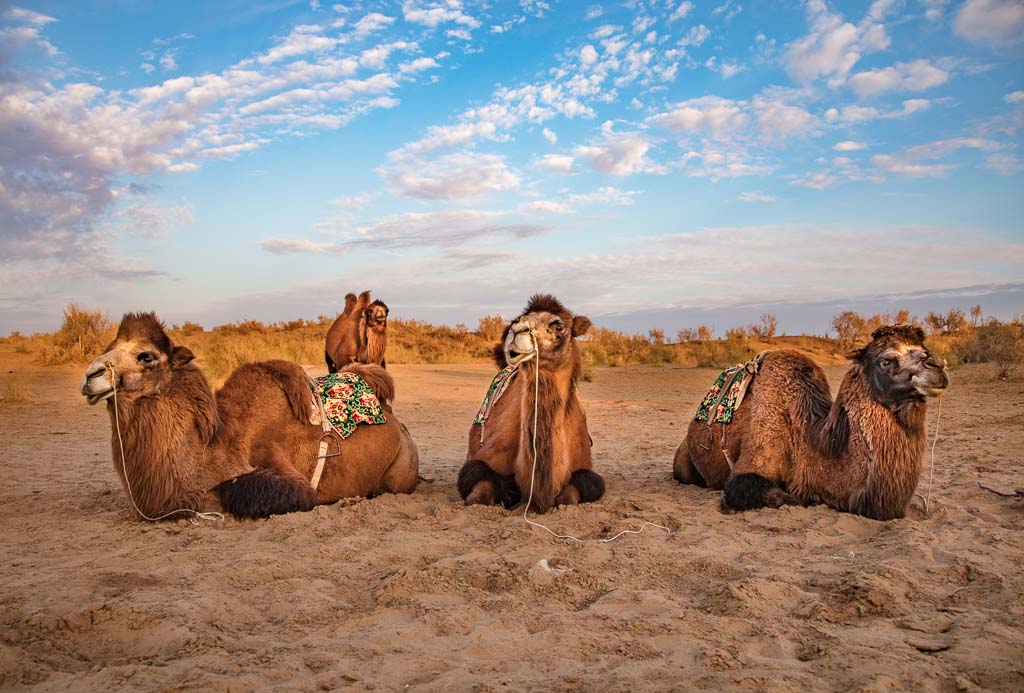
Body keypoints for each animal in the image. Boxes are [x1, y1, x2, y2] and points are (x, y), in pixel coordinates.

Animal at [77, 311, 417, 520]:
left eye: (146, 356)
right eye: (109, 346)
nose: (91, 375)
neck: (211, 446)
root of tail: (399, 425)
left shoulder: (282, 471)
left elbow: (239, 489)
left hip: (401, 472)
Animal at [454, 294, 598, 511]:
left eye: (558, 326)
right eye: (517, 319)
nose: (516, 330)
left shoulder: (585, 474)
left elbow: (568, 498)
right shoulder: (480, 463)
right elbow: (477, 495)